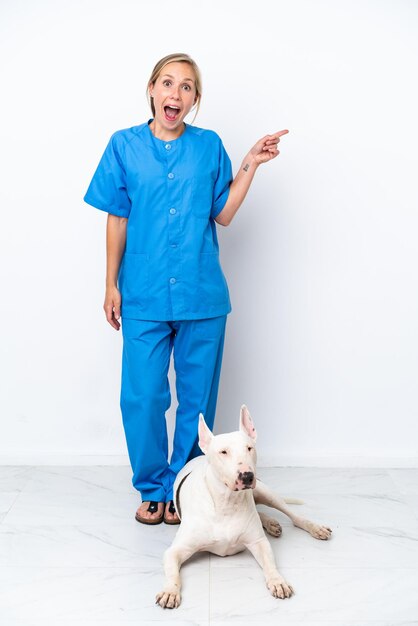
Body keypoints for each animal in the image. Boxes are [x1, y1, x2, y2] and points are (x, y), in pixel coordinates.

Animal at [155, 404, 332, 604]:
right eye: (223, 452)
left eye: (249, 448)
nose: (247, 476)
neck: (226, 502)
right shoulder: (176, 550)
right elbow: (173, 573)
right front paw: (170, 591)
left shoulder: (259, 542)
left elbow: (270, 564)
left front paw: (278, 581)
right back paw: (270, 523)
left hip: (266, 492)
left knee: (293, 516)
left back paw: (313, 527)